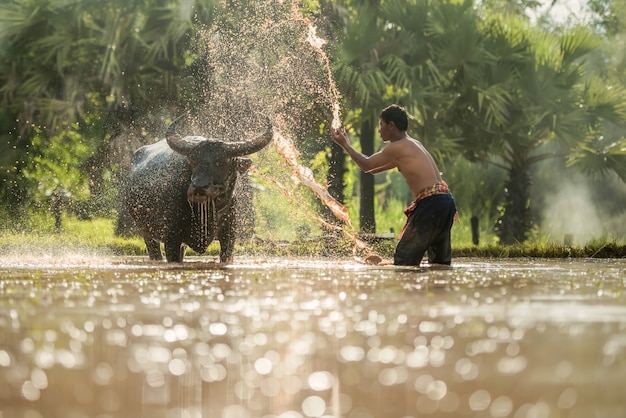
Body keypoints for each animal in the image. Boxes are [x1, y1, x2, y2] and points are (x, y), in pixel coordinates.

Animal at [125, 116, 272, 262]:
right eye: (193, 160)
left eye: (220, 162)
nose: (199, 187)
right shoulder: (171, 238)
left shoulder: (229, 236)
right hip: (147, 233)